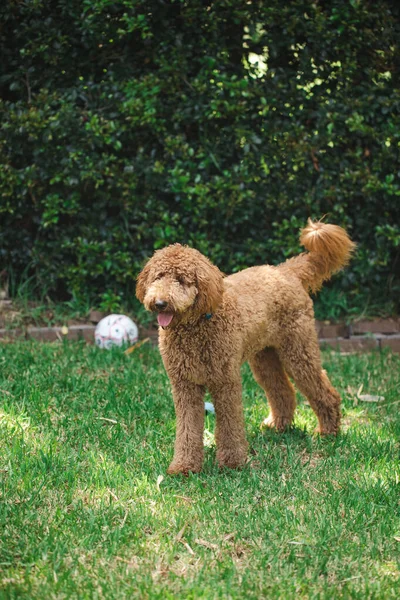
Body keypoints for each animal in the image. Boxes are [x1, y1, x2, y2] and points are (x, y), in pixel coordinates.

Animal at [136, 219, 354, 474]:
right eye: (158, 276)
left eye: (181, 279)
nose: (160, 303)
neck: (195, 326)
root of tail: (284, 271)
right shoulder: (185, 386)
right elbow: (187, 428)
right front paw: (184, 466)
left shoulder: (225, 382)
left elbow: (229, 425)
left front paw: (231, 464)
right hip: (264, 357)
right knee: (283, 390)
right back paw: (278, 426)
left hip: (299, 351)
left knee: (324, 391)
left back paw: (328, 432)